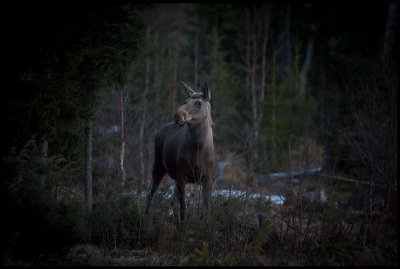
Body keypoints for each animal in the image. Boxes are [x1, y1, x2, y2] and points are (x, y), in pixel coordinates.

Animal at [145, 81, 214, 226]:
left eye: (199, 102)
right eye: (185, 101)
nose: (178, 116)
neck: (198, 148)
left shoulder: (207, 178)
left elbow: (206, 209)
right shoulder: (183, 175)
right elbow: (184, 208)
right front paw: (184, 228)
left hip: (175, 176)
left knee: (172, 202)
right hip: (158, 165)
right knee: (150, 194)